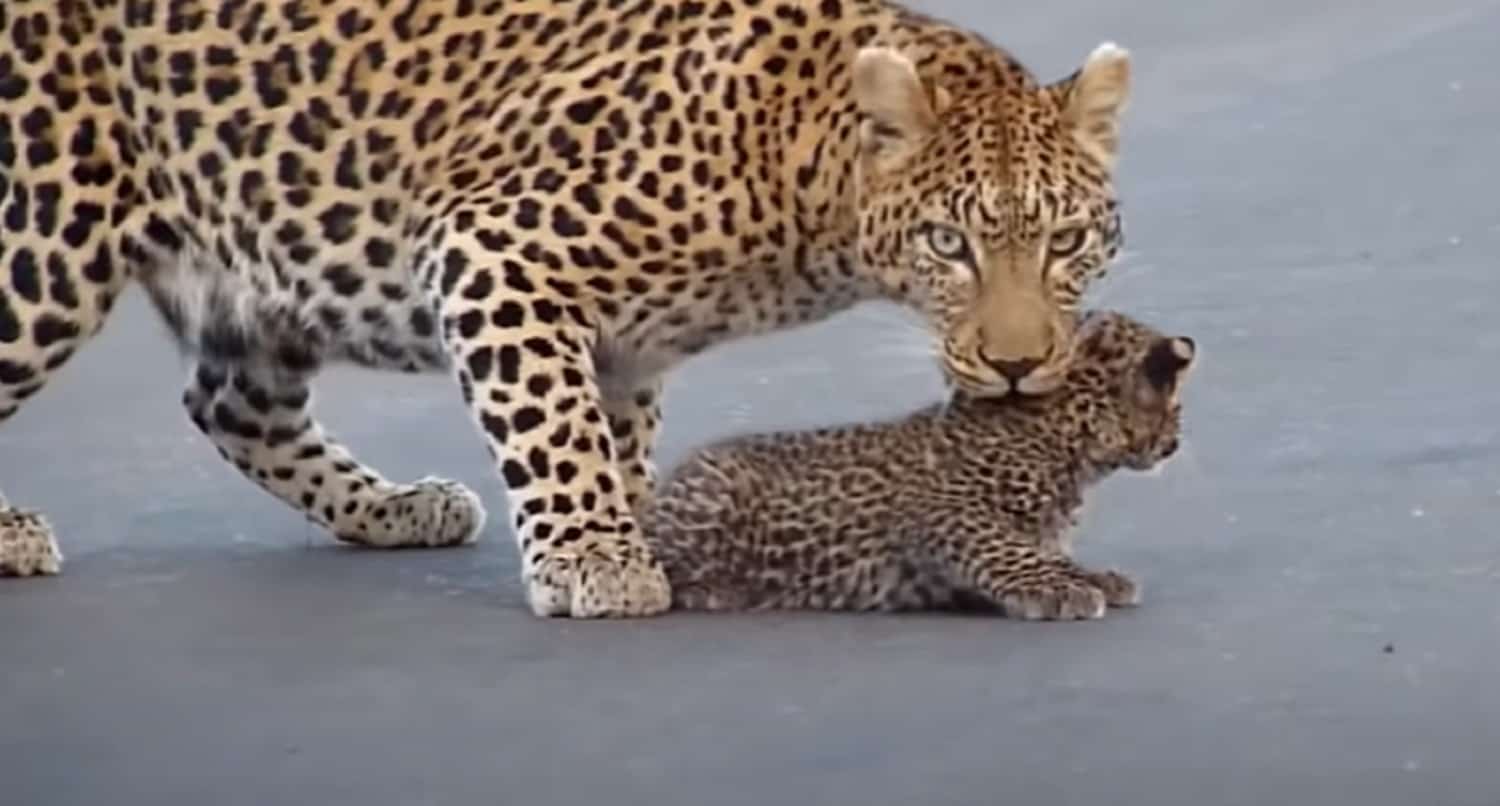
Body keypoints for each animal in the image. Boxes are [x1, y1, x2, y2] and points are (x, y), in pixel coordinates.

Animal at [0, 0, 1128, 615]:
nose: (1021, 364)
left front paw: (636, 532)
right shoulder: (491, 247)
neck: (804, 161)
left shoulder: (626, 341)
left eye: (1067, 241)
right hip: (48, 236)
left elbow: (603, 434)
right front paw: (596, 557)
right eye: (951, 244)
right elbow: (554, 425)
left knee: (232, 403)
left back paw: (395, 507)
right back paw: (11, 531)